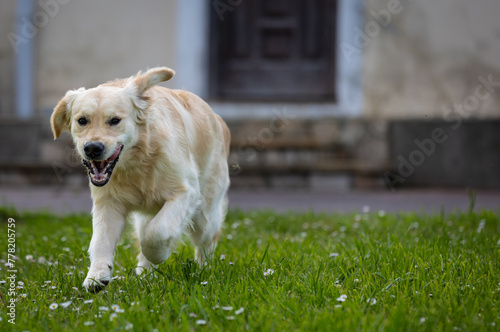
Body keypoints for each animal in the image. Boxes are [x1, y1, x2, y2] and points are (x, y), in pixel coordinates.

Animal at [50, 67, 230, 290]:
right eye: (82, 120)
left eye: (115, 120)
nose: (92, 148)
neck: (138, 160)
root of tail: (217, 119)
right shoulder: (108, 203)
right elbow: (100, 240)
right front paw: (97, 275)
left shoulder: (186, 193)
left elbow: (157, 232)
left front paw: (159, 253)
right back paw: (145, 276)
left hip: (204, 214)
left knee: (207, 240)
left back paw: (204, 270)